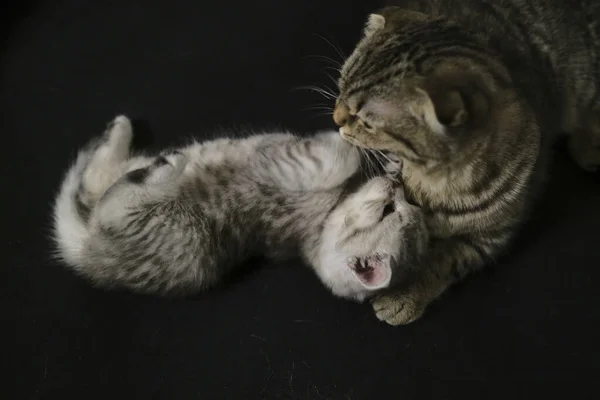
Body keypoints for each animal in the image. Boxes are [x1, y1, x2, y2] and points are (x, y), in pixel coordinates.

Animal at [51, 115, 426, 304]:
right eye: (395, 207)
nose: (395, 189)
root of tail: (90, 257)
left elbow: (340, 154)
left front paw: (353, 140)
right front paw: (391, 160)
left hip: (181, 241)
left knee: (112, 199)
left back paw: (164, 163)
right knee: (96, 180)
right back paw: (120, 130)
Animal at [332, 0, 600, 324]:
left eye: (366, 121)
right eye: (341, 85)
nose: (335, 117)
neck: (433, 179)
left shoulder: (490, 237)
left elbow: (441, 259)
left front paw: (403, 295)